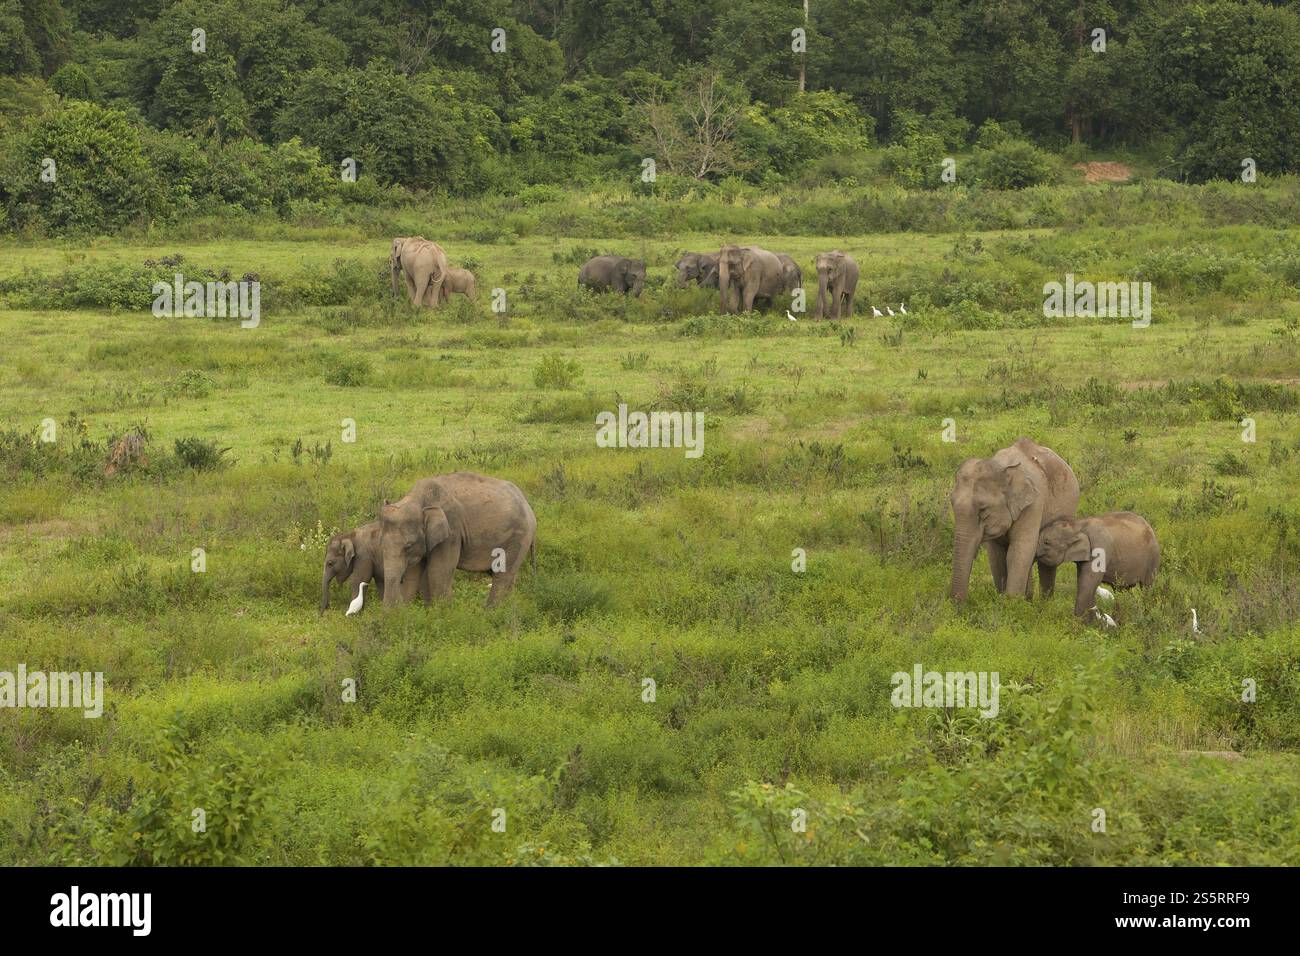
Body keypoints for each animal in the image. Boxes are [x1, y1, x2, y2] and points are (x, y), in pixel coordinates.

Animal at [379, 473, 535, 613]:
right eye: (381, 545)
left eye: (408, 546)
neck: (418, 497)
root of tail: (528, 505)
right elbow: (413, 573)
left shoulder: (452, 530)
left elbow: (439, 571)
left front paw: (443, 616)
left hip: (519, 537)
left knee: (502, 576)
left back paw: (491, 614)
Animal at [951, 437, 1081, 600]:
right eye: (952, 504)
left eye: (983, 509)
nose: (956, 604)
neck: (1003, 467)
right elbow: (996, 556)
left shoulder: (1034, 504)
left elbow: (1019, 551)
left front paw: (1011, 603)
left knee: (1047, 564)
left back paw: (1044, 604)